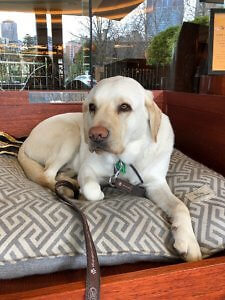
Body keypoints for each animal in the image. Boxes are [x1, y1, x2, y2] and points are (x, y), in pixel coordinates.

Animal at [18, 76, 201, 262]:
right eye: (92, 107)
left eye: (124, 107)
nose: (95, 135)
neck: (126, 160)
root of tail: (26, 140)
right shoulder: (87, 169)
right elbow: (92, 190)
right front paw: (91, 193)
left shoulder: (155, 184)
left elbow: (180, 206)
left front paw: (188, 240)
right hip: (70, 133)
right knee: (47, 174)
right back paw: (69, 187)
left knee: (57, 173)